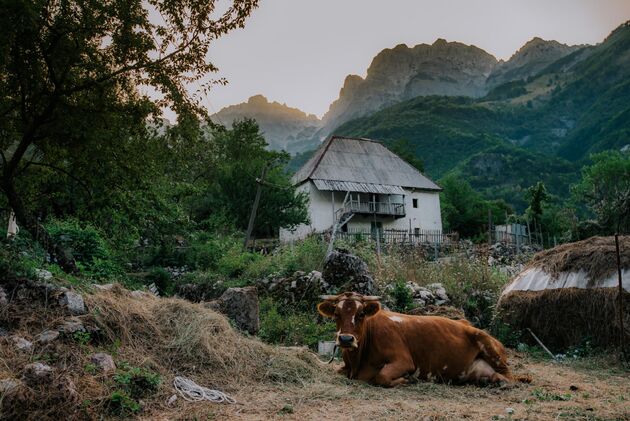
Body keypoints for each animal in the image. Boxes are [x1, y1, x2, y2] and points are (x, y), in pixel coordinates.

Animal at [318, 290, 524, 386]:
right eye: (336, 313)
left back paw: (502, 384)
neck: (357, 362)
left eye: (361, 314)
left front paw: (408, 380)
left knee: (510, 377)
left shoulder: (404, 360)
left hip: (487, 344)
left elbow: (382, 376)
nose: (346, 339)